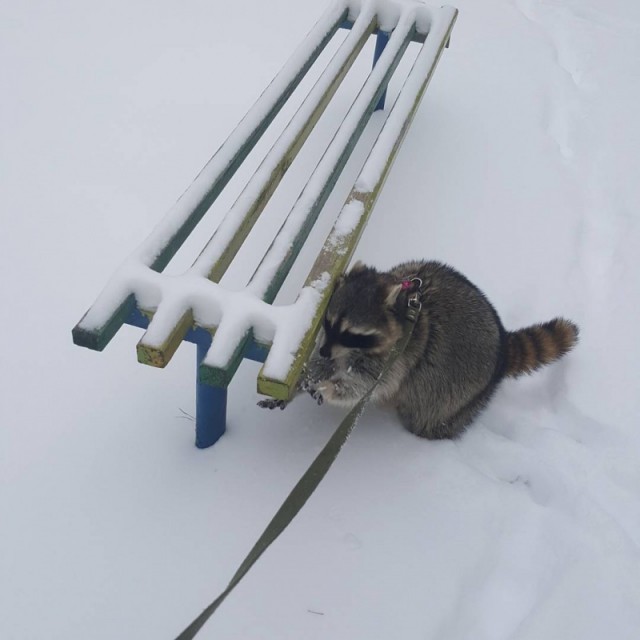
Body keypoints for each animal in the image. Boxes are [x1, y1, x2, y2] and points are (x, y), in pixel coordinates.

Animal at [262, 260, 576, 440]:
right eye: (327, 322)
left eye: (352, 334)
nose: (325, 352)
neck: (406, 310)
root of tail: (502, 344)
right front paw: (309, 377)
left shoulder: (401, 357)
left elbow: (369, 385)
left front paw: (330, 387)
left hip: (459, 392)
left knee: (429, 414)